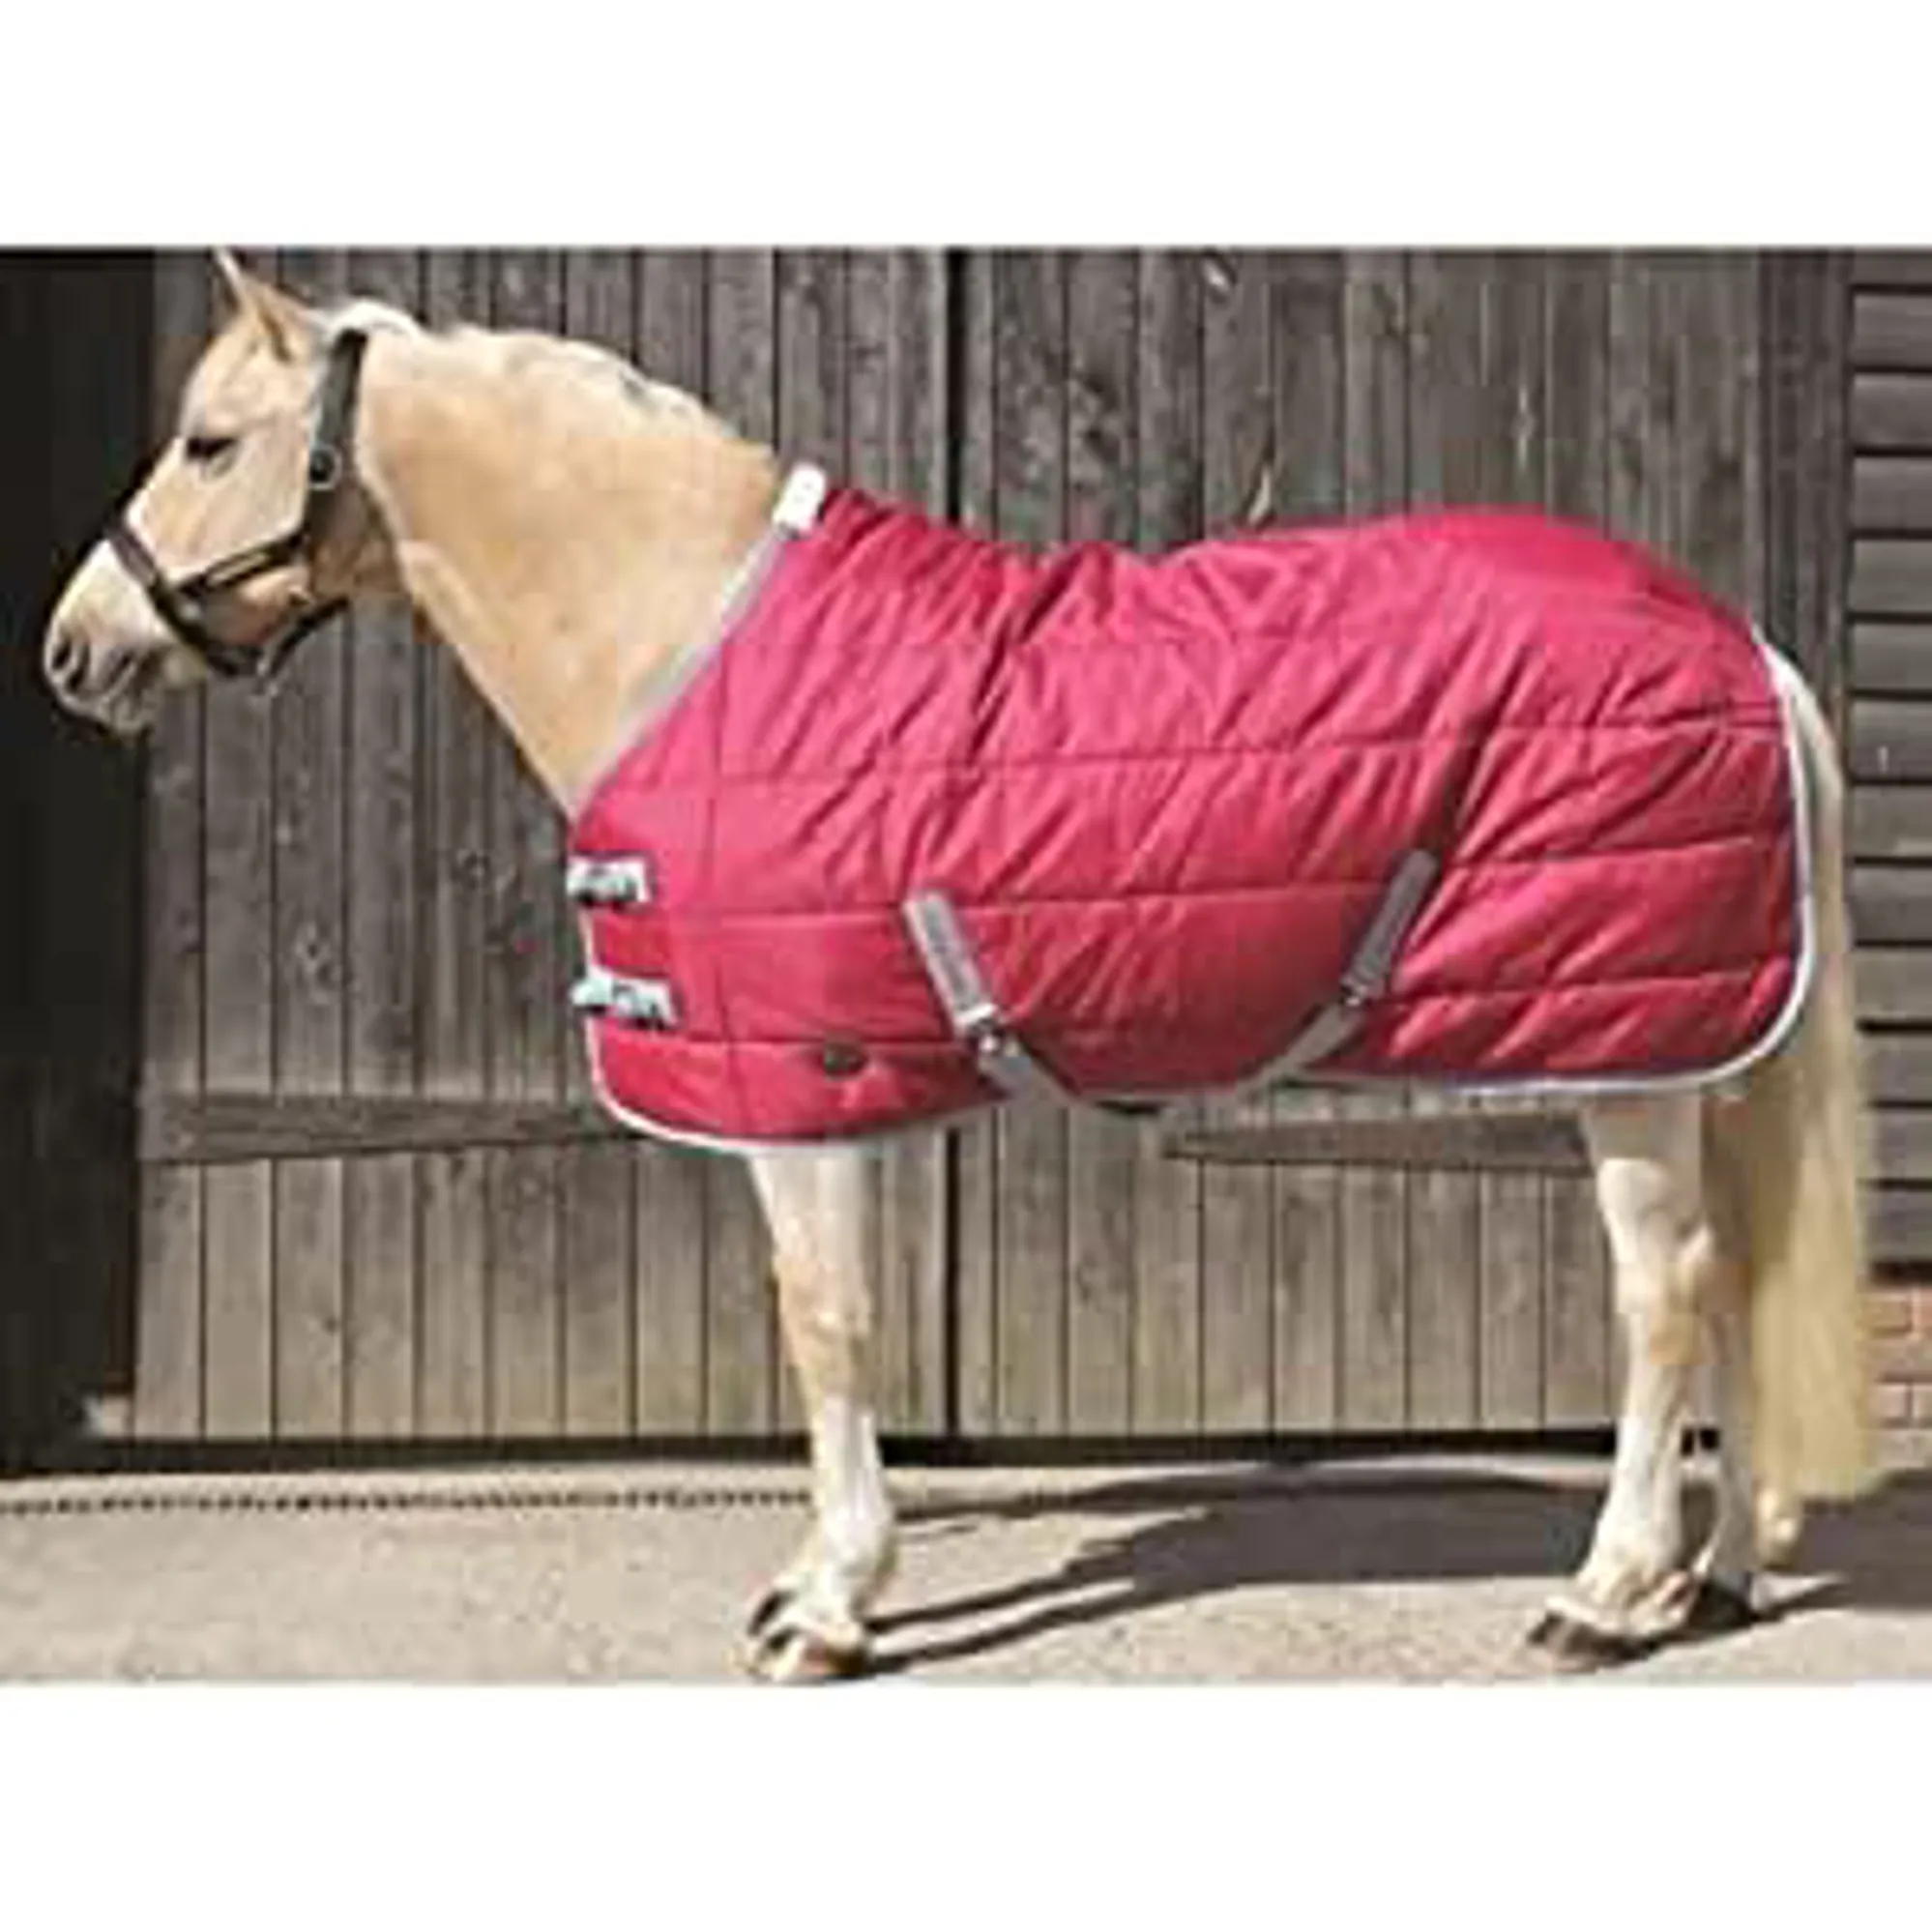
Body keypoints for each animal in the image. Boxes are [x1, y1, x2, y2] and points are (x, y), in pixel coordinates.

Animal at [41, 252, 1874, 1681]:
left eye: (210, 439)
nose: (74, 649)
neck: (692, 638)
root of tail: (1736, 641)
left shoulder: (804, 1088)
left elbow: (827, 1325)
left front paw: (831, 1605)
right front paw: (817, 1581)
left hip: (1620, 1057)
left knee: (1664, 1292)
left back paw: (1604, 1593)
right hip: (1684, 1053)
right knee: (1725, 1283)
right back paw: (1714, 1575)